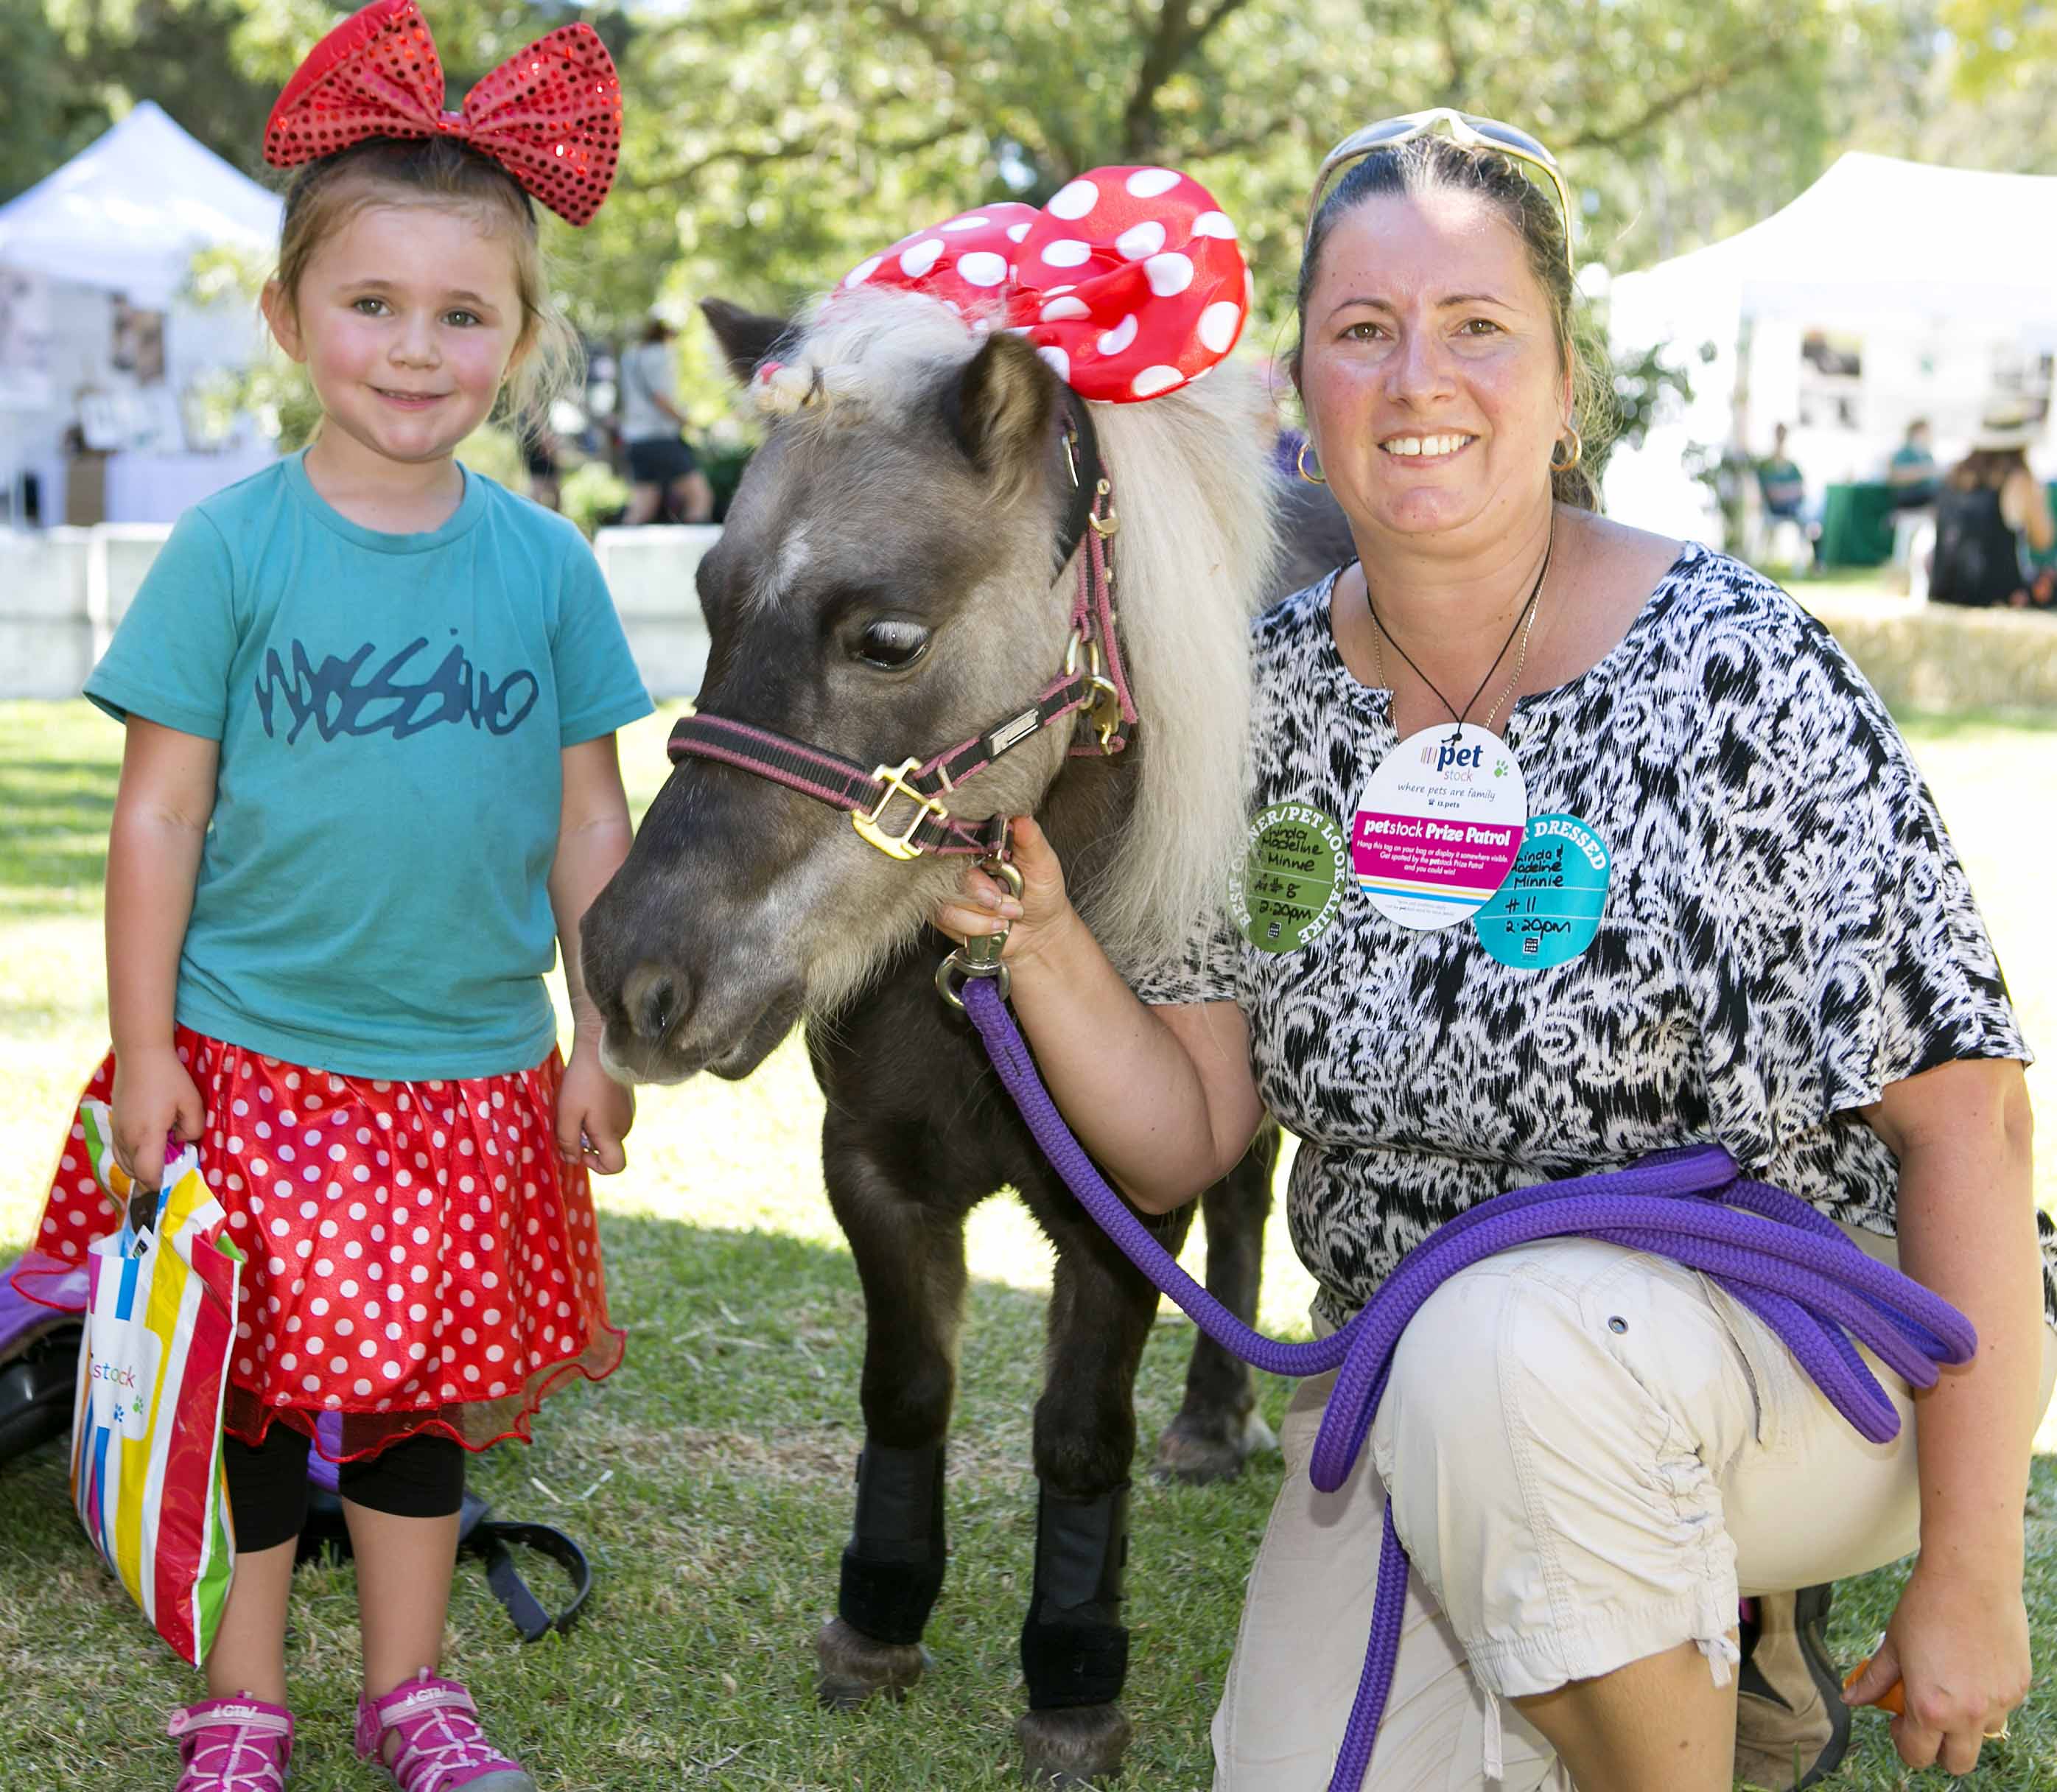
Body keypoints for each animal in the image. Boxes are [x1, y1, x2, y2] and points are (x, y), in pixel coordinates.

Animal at [579, 283, 1289, 1785]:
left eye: (888, 641)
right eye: (708, 610)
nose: (633, 976)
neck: (979, 987)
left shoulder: (1116, 1200)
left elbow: (1076, 1437)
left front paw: (1073, 1676)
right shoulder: (871, 1170)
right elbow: (906, 1393)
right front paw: (879, 1617)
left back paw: (1212, 1418)